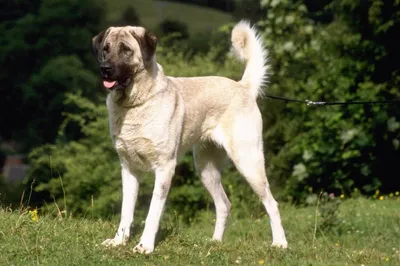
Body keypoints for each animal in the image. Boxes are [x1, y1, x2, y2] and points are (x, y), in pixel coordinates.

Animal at [92, 20, 288, 254]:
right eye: (106, 49)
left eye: (126, 50)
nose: (104, 69)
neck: (135, 104)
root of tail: (242, 87)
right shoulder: (129, 169)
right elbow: (126, 211)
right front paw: (119, 241)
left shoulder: (165, 168)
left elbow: (153, 212)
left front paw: (145, 245)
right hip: (205, 169)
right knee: (224, 204)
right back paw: (215, 242)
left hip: (248, 162)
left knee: (272, 203)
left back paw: (280, 243)